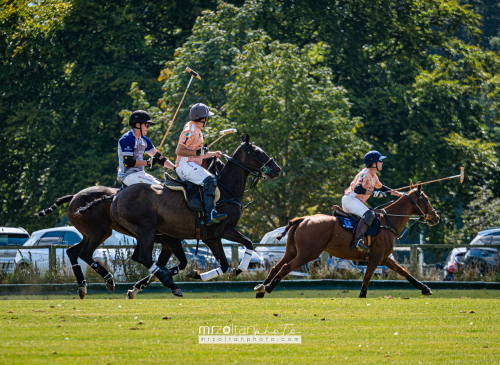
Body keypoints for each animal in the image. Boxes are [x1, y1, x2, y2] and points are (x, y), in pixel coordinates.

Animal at [38, 158, 226, 298]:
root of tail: (74, 197)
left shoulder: (164, 241)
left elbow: (165, 264)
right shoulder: (166, 238)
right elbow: (163, 262)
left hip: (93, 233)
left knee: (72, 252)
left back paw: (83, 287)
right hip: (99, 232)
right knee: (84, 253)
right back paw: (108, 280)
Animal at [103, 134, 280, 290]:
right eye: (257, 151)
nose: (277, 169)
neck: (226, 190)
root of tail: (116, 197)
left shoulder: (213, 238)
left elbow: (224, 265)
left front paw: (196, 274)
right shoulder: (223, 229)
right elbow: (248, 243)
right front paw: (238, 269)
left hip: (148, 233)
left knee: (144, 258)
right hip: (146, 229)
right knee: (144, 257)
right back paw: (169, 283)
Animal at [256, 183, 440, 298]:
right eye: (426, 199)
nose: (436, 217)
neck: (388, 221)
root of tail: (302, 219)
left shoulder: (384, 257)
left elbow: (403, 271)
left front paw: (425, 288)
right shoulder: (376, 256)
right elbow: (367, 275)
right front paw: (362, 295)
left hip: (292, 251)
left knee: (275, 267)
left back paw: (260, 290)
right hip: (308, 253)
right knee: (286, 268)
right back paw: (268, 288)